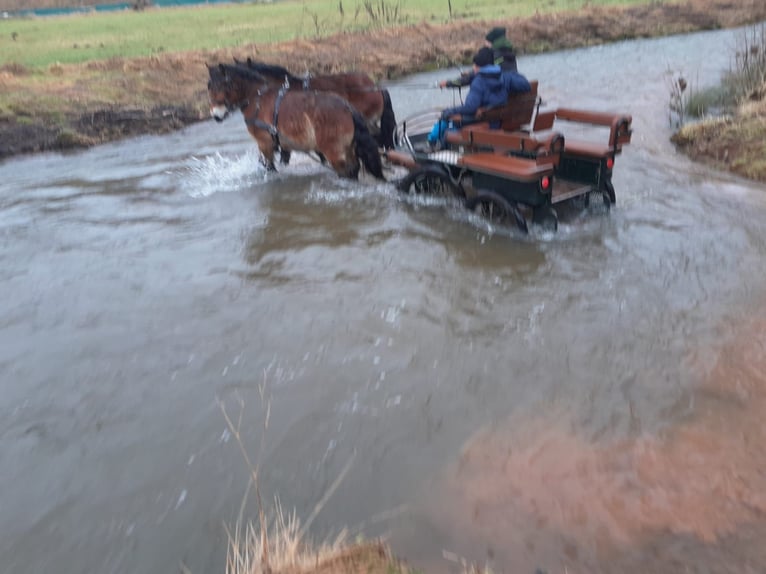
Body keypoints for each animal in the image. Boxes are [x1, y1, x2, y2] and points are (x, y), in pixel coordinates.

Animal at [207, 62, 384, 181]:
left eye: (221, 86)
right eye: (209, 87)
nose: (216, 115)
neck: (257, 99)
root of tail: (347, 108)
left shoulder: (265, 143)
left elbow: (269, 167)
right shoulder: (277, 143)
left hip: (335, 151)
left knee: (346, 171)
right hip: (348, 147)